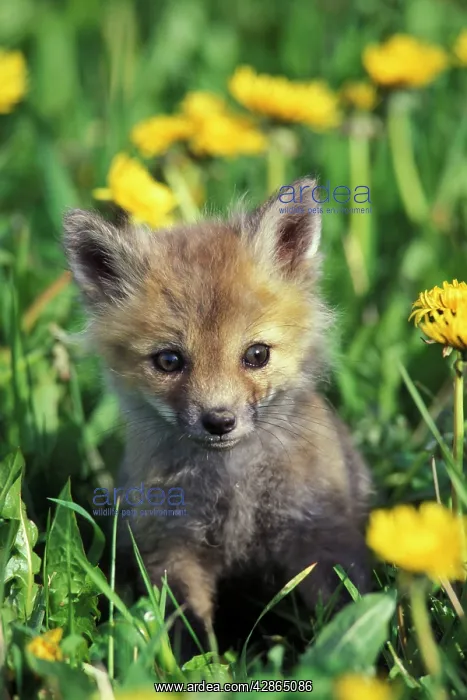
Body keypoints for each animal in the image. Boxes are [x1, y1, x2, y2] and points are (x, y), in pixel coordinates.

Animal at [64, 177, 373, 656]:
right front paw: (204, 663)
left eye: (257, 355)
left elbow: (349, 608)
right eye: (169, 360)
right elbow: (184, 626)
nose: (219, 420)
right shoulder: (171, 543)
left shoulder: (320, 534)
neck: (234, 486)